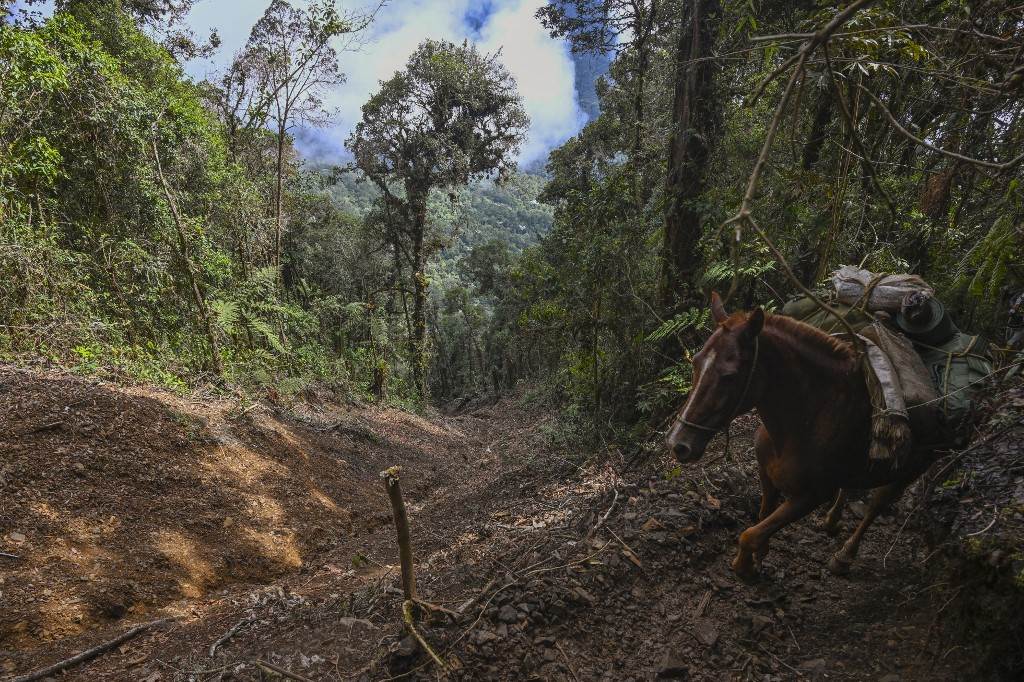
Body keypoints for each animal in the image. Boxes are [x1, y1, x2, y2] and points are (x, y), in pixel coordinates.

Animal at [663, 292, 942, 577]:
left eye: (730, 376)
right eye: (695, 362)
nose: (677, 443)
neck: (808, 417)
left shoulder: (812, 496)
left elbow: (750, 535)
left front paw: (745, 567)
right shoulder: (766, 474)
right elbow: (762, 519)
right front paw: (760, 554)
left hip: (919, 464)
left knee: (878, 503)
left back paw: (844, 556)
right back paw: (831, 521)